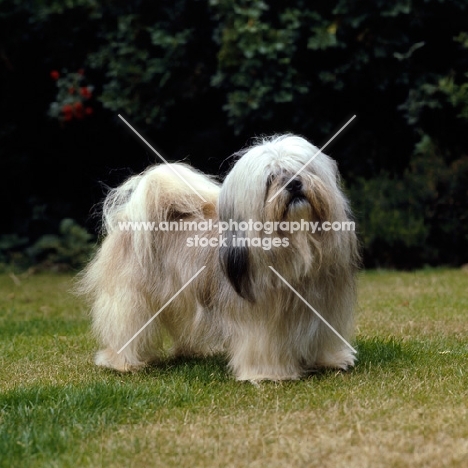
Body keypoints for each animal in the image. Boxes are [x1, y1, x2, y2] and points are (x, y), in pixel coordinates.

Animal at [78, 133, 360, 382]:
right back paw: (121, 362)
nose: (294, 183)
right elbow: (261, 343)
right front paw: (267, 373)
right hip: (129, 297)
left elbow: (321, 335)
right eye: (271, 178)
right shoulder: (258, 319)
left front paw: (330, 359)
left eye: (302, 168)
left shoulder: (323, 305)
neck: (295, 244)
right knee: (124, 325)